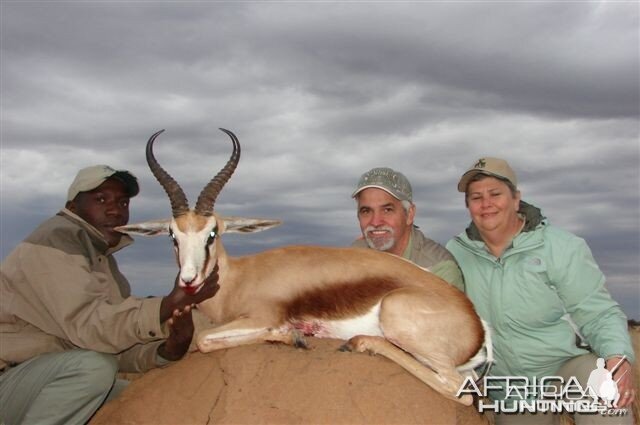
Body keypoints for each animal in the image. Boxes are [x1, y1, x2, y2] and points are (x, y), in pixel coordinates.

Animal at [116, 128, 490, 404]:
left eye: (212, 233)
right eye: (173, 235)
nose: (189, 280)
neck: (239, 279)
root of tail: (477, 325)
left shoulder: (260, 315)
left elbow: (205, 339)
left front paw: (290, 335)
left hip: (397, 313)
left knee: (459, 391)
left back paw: (355, 342)